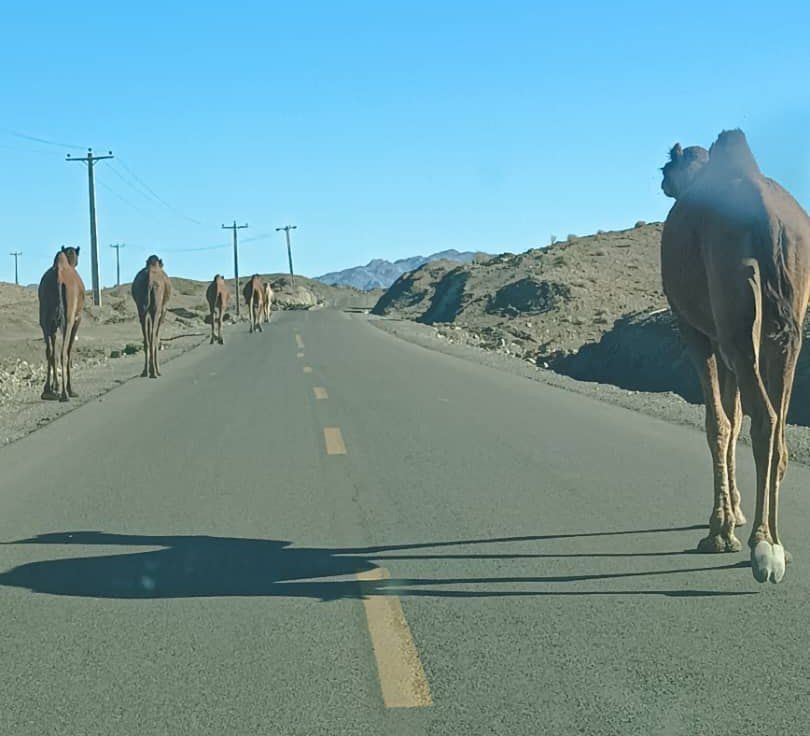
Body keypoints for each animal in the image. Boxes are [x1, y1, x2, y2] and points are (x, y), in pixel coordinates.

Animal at [37, 244, 85, 400]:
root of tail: (58, 276)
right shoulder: (77, 319)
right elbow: (69, 350)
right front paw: (67, 388)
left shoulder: (52, 323)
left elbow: (52, 351)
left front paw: (54, 387)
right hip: (68, 318)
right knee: (64, 351)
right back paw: (66, 393)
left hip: (44, 317)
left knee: (49, 351)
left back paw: (47, 391)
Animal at [660, 129, 808, 584]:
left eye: (665, 166)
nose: (664, 182)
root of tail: (769, 219)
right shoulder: (728, 342)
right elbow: (732, 415)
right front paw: (735, 515)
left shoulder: (698, 332)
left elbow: (719, 424)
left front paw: (720, 530)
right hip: (787, 324)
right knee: (777, 424)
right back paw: (776, 543)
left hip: (736, 317)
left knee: (764, 420)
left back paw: (764, 548)